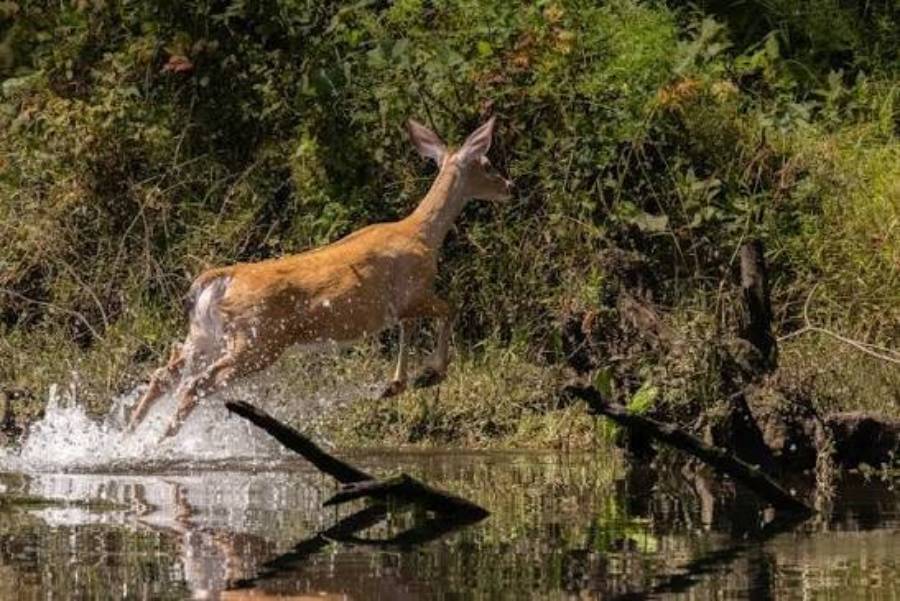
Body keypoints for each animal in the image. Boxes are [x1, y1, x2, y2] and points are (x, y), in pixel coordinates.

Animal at [127, 116, 513, 438]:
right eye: (487, 164)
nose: (510, 185)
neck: (423, 235)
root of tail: (220, 280)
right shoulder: (414, 292)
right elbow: (450, 309)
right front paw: (430, 374)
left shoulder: (402, 306)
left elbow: (409, 329)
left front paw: (398, 384)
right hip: (257, 340)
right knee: (196, 383)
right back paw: (160, 442)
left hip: (205, 336)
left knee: (165, 374)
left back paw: (132, 433)